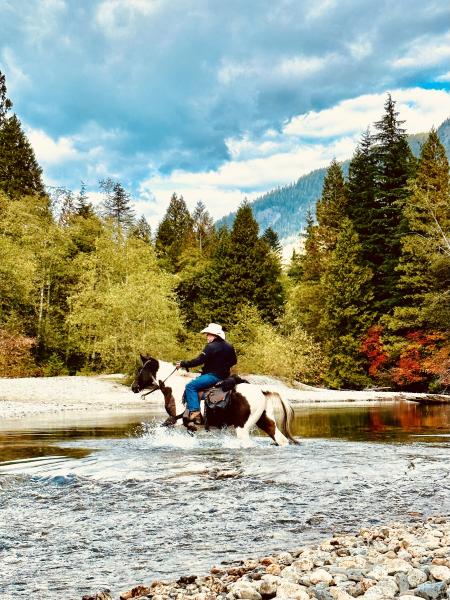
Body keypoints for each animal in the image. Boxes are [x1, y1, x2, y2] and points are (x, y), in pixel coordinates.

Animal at [130, 356, 298, 446]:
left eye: (140, 370)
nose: (134, 387)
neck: (175, 388)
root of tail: (262, 391)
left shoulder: (175, 419)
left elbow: (160, 429)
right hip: (265, 421)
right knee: (281, 439)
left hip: (242, 428)